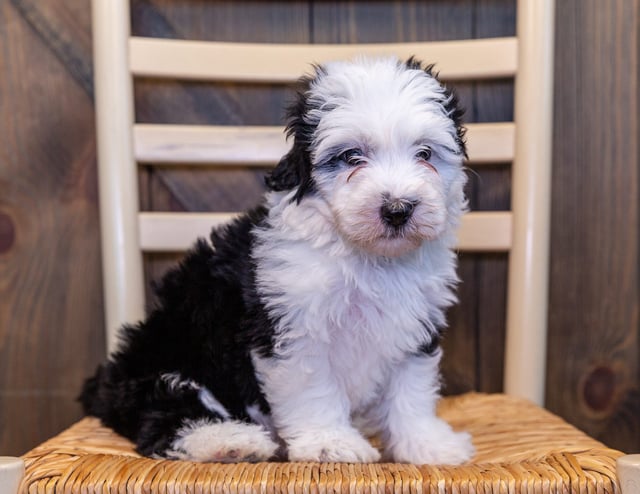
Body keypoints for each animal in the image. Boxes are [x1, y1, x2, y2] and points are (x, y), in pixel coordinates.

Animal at [80, 56, 476, 466]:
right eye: (351, 157)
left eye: (425, 154)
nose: (397, 210)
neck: (367, 257)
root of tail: (104, 383)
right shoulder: (293, 327)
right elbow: (314, 388)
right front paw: (330, 442)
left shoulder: (415, 324)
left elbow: (410, 390)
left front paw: (425, 443)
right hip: (170, 356)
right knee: (166, 415)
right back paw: (231, 442)